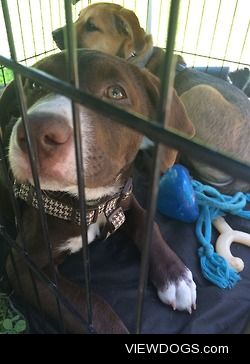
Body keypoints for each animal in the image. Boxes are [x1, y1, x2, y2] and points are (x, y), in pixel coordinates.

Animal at [0, 49, 196, 334]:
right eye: (34, 84)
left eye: (116, 92)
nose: (34, 131)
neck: (91, 204)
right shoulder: (23, 265)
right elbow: (95, 309)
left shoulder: (124, 200)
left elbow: (148, 223)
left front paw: (176, 275)